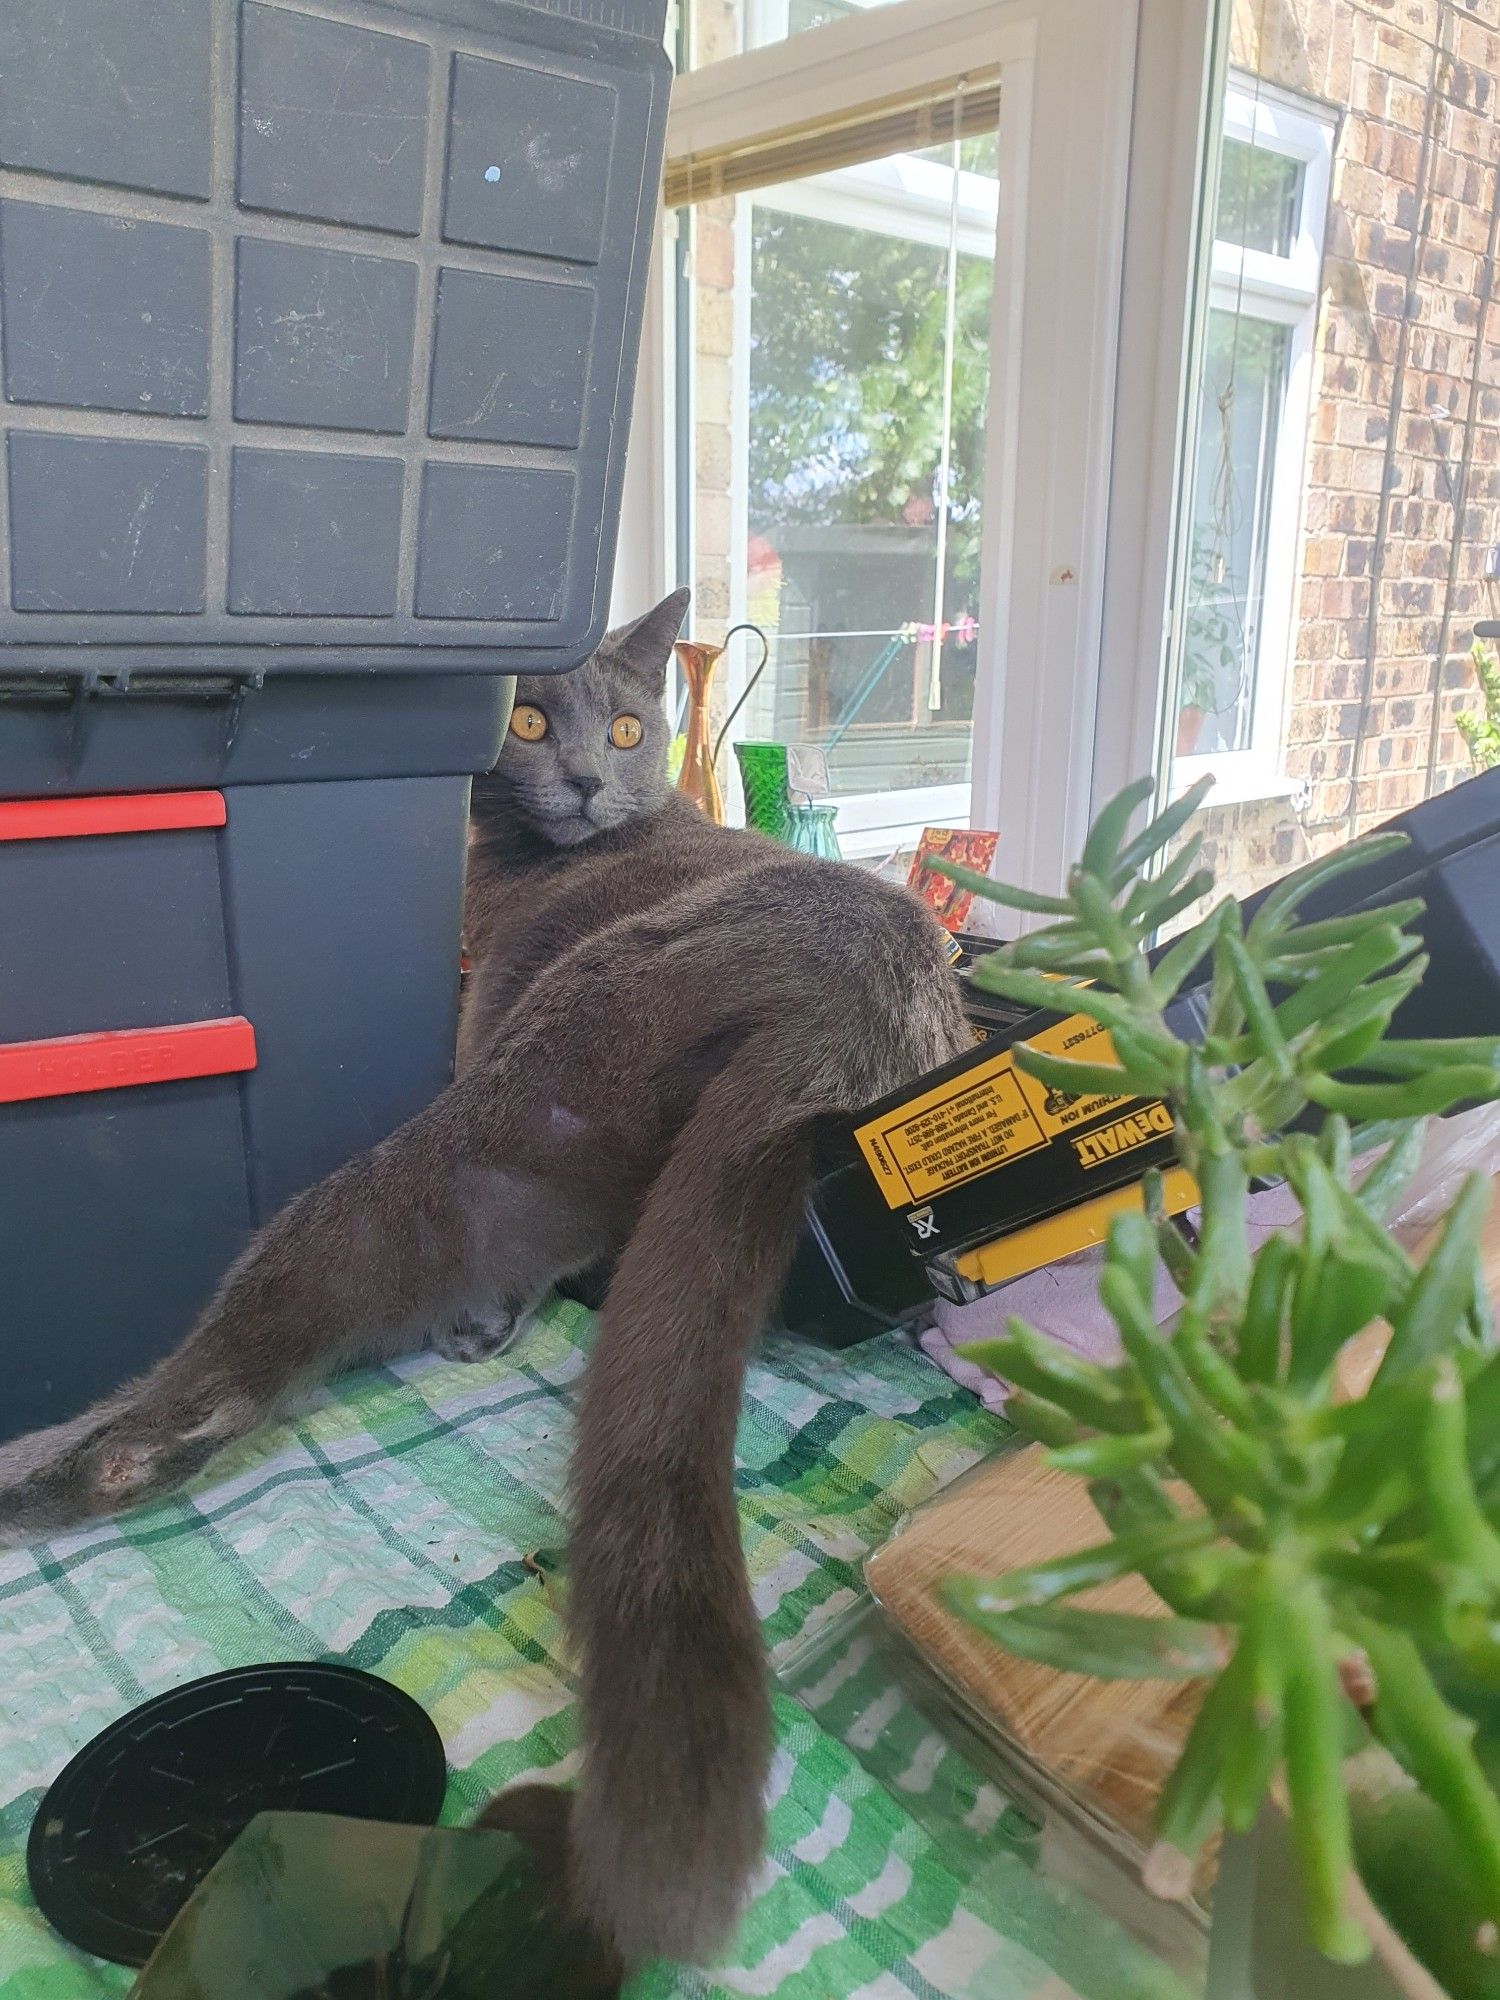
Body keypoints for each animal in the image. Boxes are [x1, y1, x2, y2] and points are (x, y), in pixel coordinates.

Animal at [0, 588, 976, 1968]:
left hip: (510, 1084)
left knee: (250, 1344)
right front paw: (493, 1322)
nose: (584, 778)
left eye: (624, 727)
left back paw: (59, 1462)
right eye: (525, 719)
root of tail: (863, 1002)